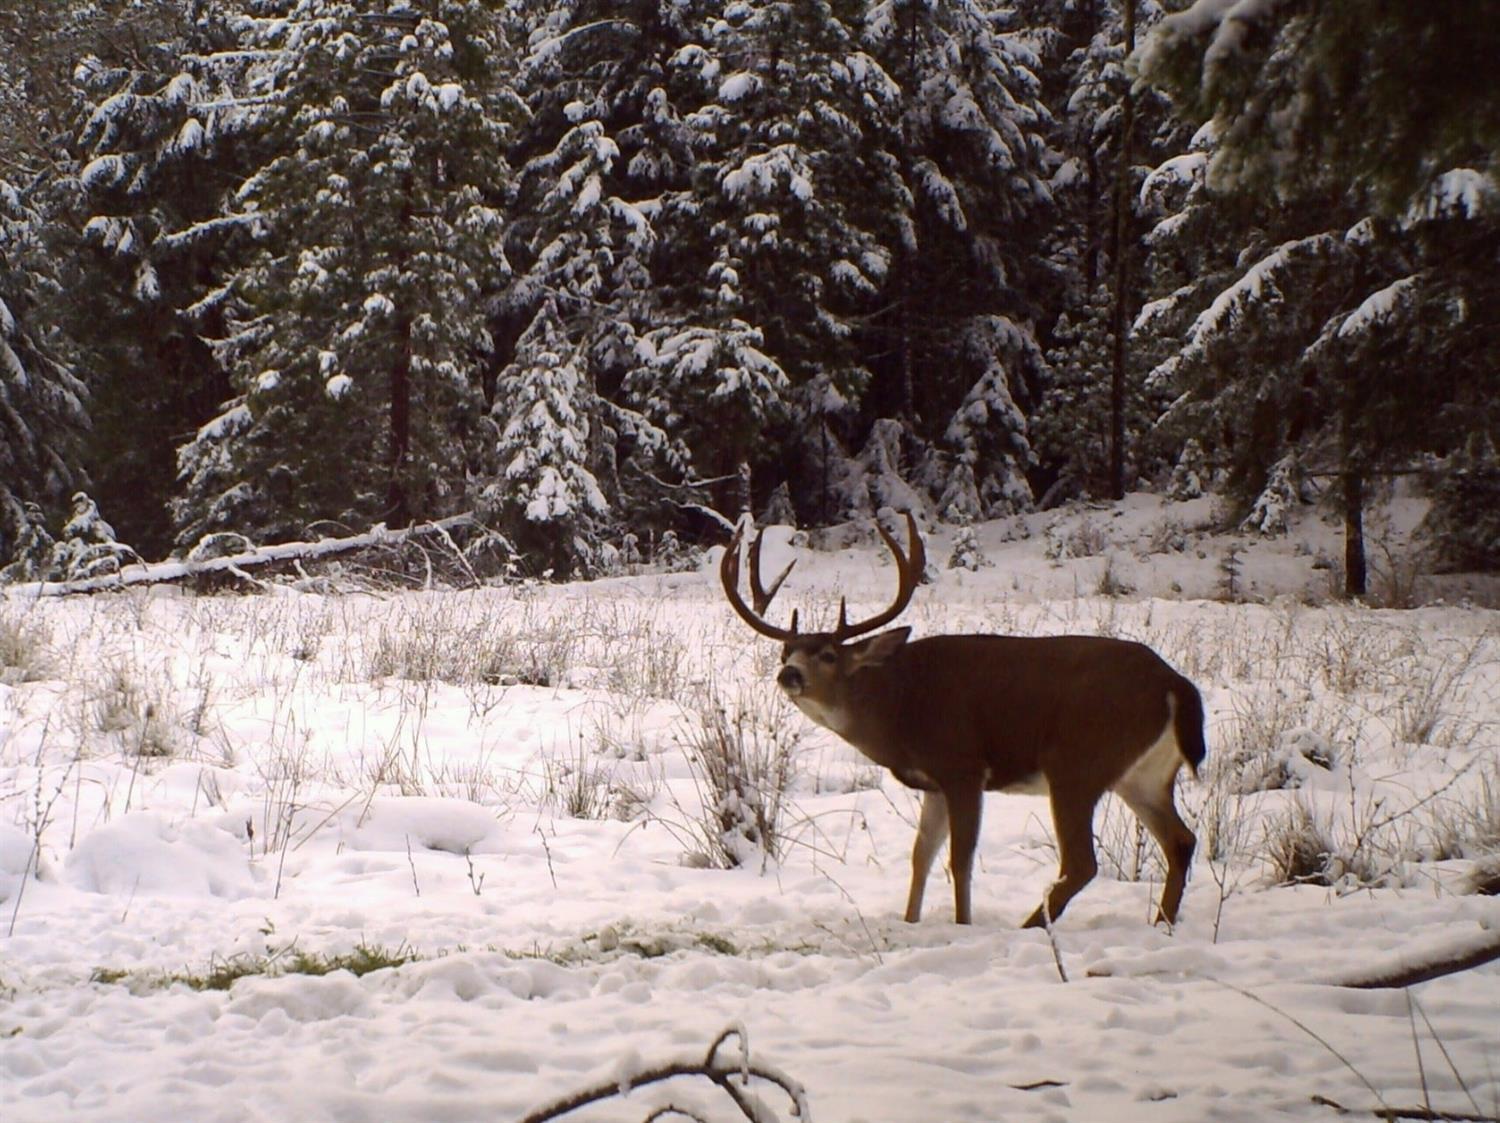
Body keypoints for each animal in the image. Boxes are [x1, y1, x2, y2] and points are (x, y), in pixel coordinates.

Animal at [719, 512, 1207, 928]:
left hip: (1077, 762)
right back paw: (1162, 923)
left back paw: (1030, 927)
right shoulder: (934, 783)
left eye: (828, 654)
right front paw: (910, 922)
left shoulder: (963, 767)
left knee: (1082, 862)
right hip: (1142, 774)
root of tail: (1176, 684)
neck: (898, 708)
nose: (789, 674)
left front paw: (962, 924)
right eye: (786, 651)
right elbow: (921, 855)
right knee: (1181, 841)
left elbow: (959, 859)